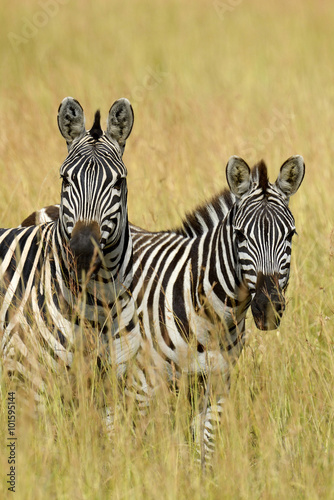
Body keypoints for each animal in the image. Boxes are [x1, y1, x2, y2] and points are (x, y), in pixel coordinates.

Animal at [0, 96, 140, 402]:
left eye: (119, 181)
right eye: (65, 179)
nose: (83, 252)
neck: (99, 303)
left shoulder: (116, 384)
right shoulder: (26, 380)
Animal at [18, 155, 306, 460]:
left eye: (291, 235)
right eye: (240, 236)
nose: (268, 308)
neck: (212, 314)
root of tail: (47, 208)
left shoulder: (215, 384)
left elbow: (205, 451)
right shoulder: (141, 385)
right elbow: (140, 447)